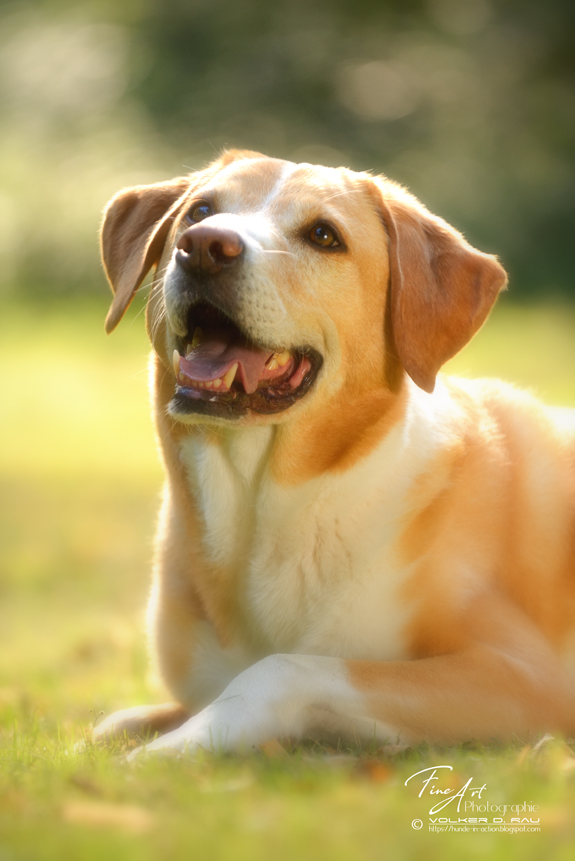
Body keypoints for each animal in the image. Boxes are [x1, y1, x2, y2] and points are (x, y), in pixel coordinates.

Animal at [93, 151, 575, 756]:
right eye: (200, 211)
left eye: (324, 236)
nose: (204, 245)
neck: (266, 514)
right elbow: (119, 721)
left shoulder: (525, 676)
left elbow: (285, 668)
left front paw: (171, 749)